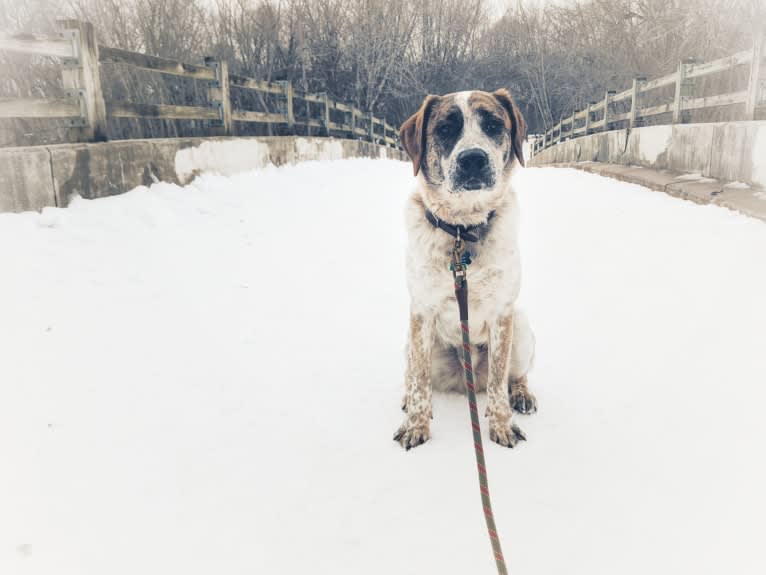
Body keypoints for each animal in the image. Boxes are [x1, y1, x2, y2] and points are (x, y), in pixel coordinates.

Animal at [392, 89, 536, 450]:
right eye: (446, 128)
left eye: (493, 124)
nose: (472, 159)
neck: (462, 230)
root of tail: (466, 376)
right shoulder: (422, 312)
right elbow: (420, 383)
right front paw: (416, 425)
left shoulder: (502, 314)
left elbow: (498, 381)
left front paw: (501, 424)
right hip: (413, 343)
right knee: (414, 375)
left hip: (521, 327)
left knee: (515, 376)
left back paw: (521, 395)